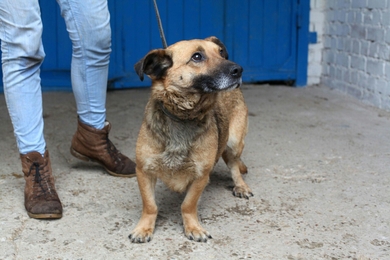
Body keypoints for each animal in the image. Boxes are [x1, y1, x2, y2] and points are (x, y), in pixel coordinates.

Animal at [129, 36, 253, 244]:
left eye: (221, 53)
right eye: (197, 56)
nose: (239, 70)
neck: (183, 117)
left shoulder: (201, 176)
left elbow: (188, 204)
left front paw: (193, 227)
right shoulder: (144, 171)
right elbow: (150, 205)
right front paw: (144, 228)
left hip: (235, 142)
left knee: (235, 165)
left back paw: (241, 186)